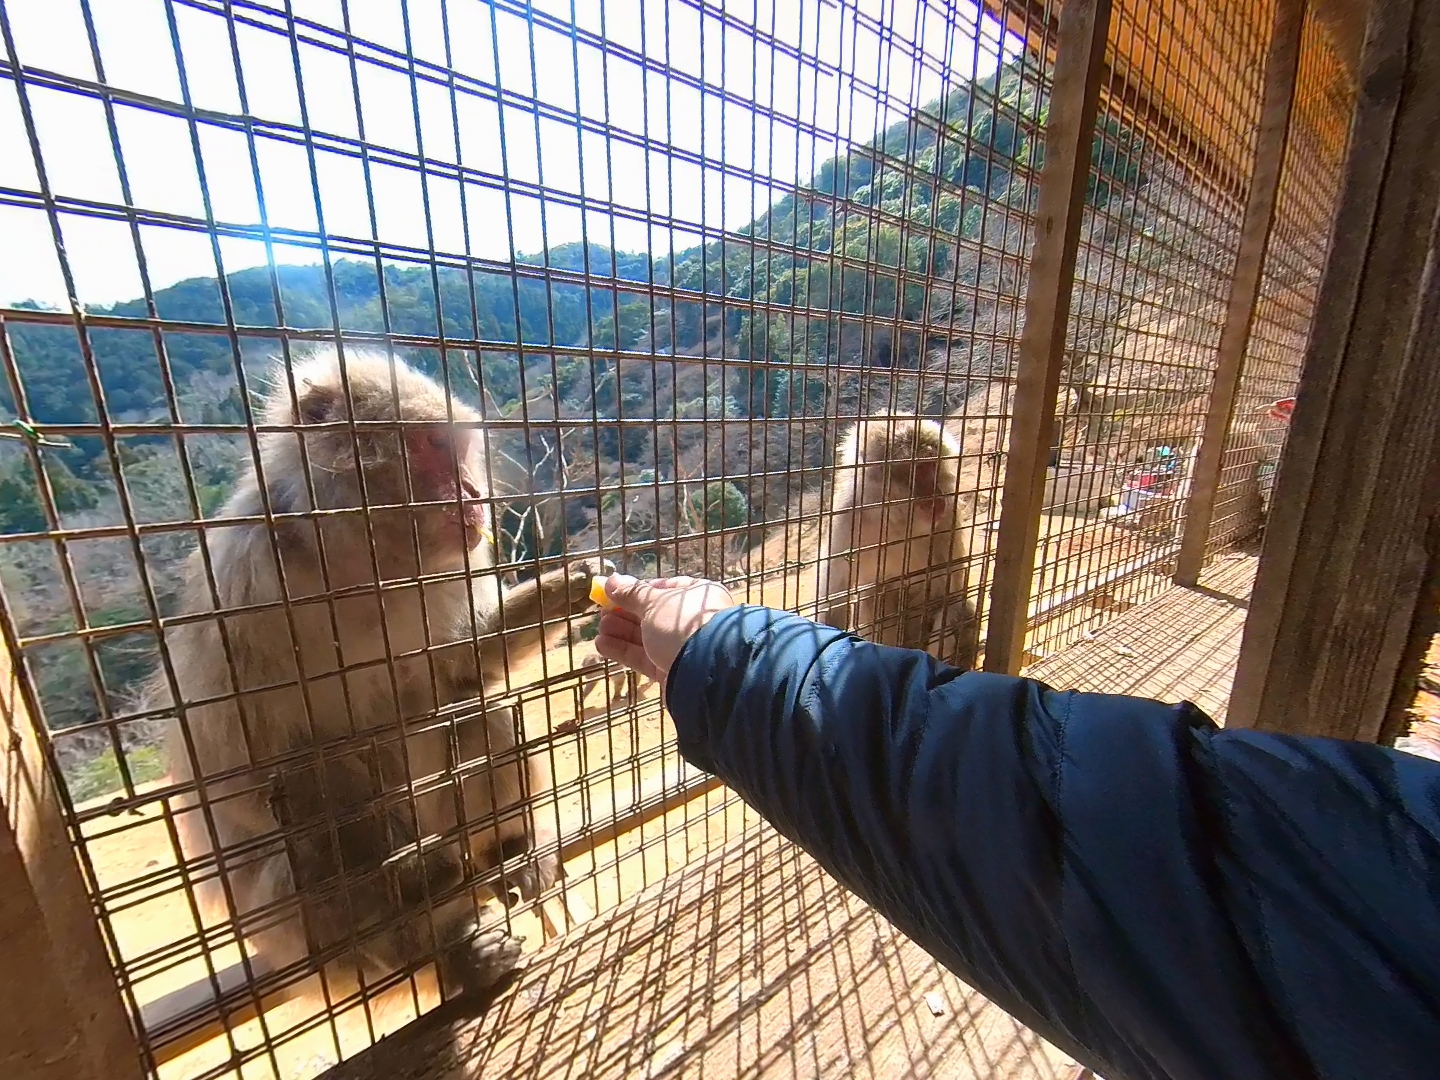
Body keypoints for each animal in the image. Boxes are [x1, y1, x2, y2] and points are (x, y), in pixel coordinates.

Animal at [156, 344, 601, 996]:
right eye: (434, 446)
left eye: (460, 447)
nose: (473, 492)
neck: (354, 565)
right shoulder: (243, 589)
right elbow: (248, 781)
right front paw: (408, 870)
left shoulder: (448, 570)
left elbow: (459, 671)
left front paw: (565, 590)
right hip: (299, 939)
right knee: (309, 854)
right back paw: (442, 936)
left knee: (473, 716)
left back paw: (510, 848)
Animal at [817, 414, 984, 668]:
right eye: (918, 469)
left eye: (932, 465)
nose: (935, 495)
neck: (897, 518)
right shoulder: (847, 518)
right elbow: (836, 598)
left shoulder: (949, 516)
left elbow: (952, 592)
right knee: (878, 593)